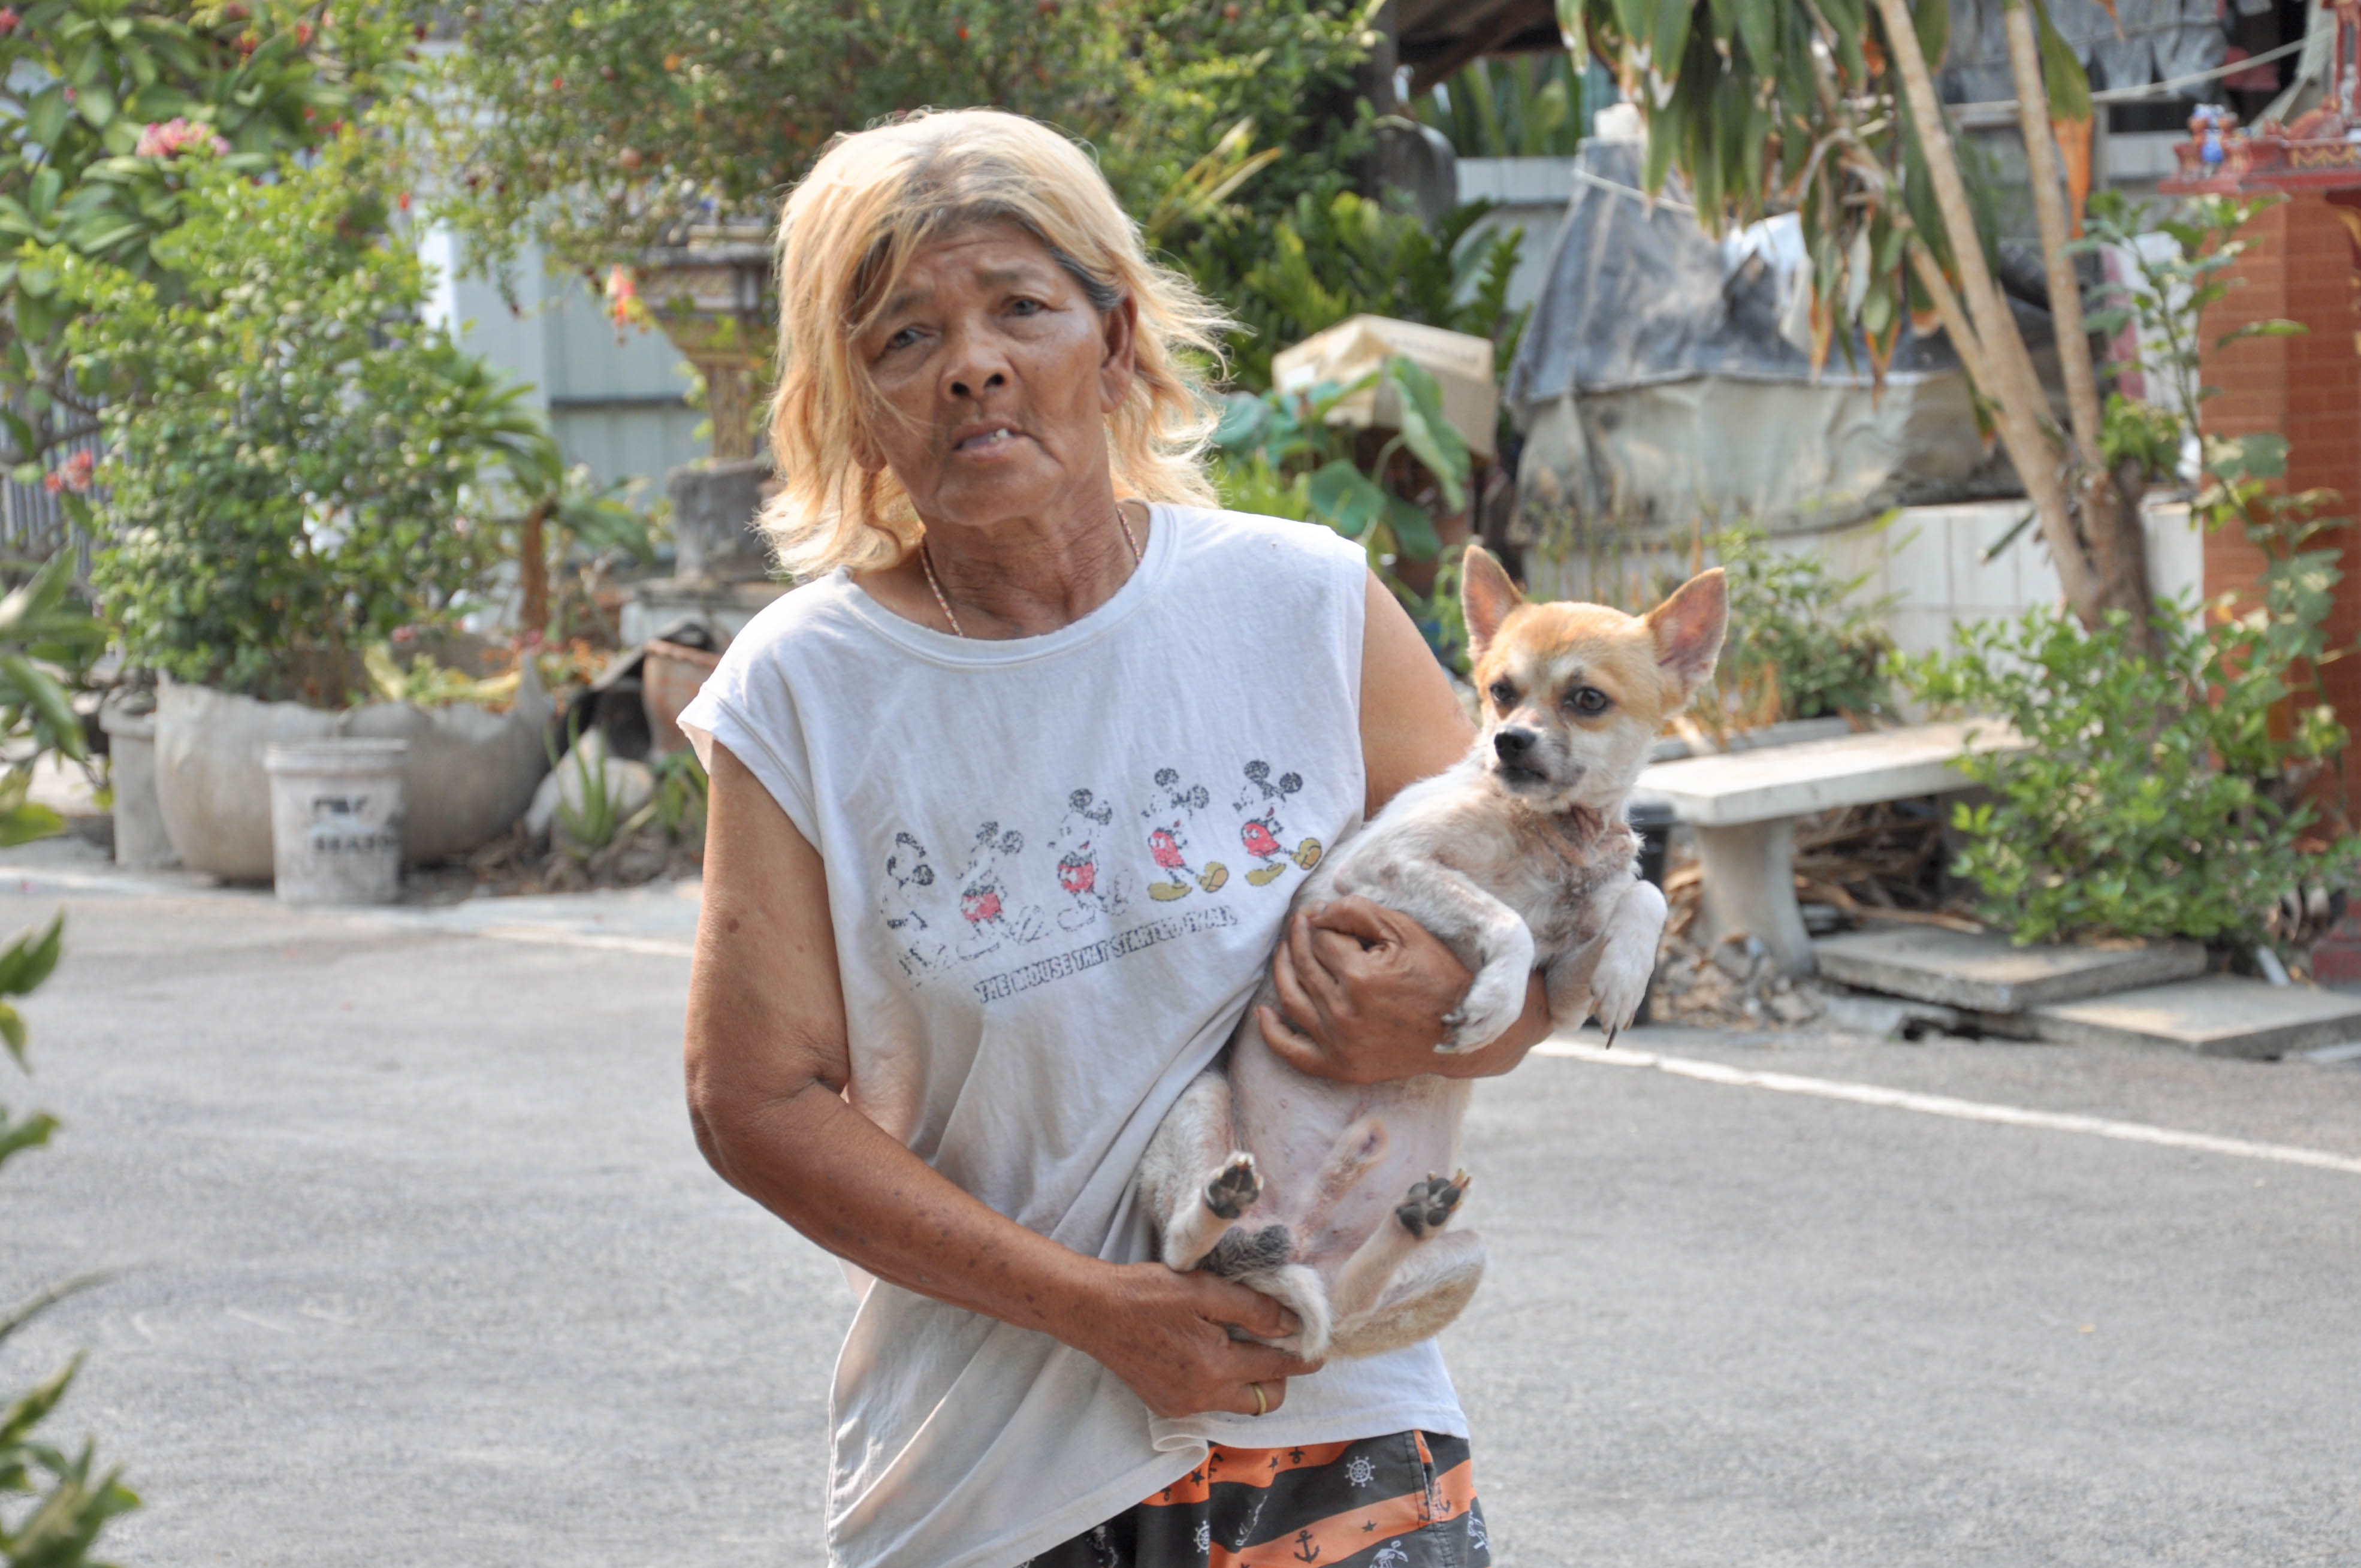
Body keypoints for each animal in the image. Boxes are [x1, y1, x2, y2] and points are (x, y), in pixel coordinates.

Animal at [1140, 547, 1728, 1360]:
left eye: (1587, 699)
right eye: (1501, 692)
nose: (1509, 742)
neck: (1548, 832)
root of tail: (1294, 1232)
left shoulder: (1562, 986)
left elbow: (1643, 897)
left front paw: (1626, 977)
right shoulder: (1380, 869)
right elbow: (1508, 920)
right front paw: (1492, 1001)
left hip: (1464, 1258)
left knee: (1347, 1302)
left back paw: (1407, 1222)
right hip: (1196, 1108)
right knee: (1182, 1254)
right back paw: (1219, 1208)